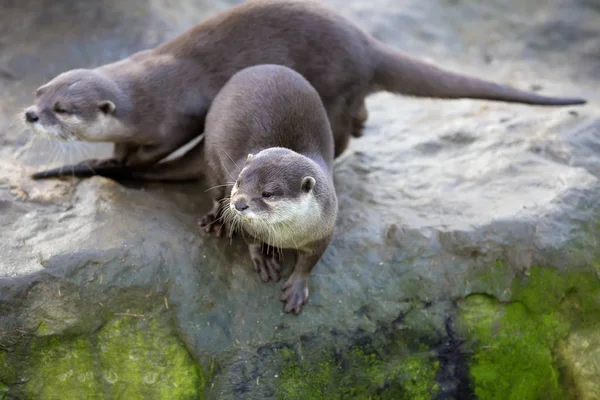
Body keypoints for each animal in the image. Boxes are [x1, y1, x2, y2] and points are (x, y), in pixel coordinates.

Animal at [27, 0, 584, 180]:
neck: (146, 93)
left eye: (63, 108)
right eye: (38, 91)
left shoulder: (175, 118)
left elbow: (153, 151)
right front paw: (116, 157)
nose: (30, 116)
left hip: (334, 83)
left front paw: (121, 163)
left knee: (343, 128)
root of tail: (364, 42)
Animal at [198, 65, 336, 316]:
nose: (238, 204)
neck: (286, 236)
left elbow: (308, 263)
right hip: (211, 154)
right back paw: (215, 221)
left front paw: (297, 288)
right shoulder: (245, 223)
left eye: (268, 193)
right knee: (215, 193)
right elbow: (251, 241)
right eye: (239, 181)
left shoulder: (324, 232)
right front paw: (263, 259)